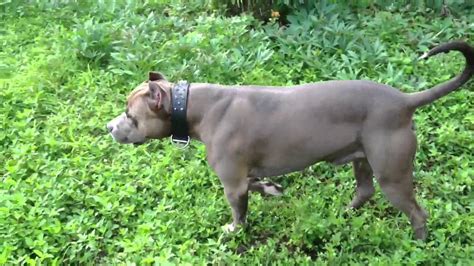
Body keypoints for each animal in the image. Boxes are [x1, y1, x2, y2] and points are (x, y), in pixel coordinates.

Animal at [108, 42, 474, 241]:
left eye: (130, 115)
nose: (109, 126)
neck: (193, 106)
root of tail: (404, 101)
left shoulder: (231, 183)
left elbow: (238, 213)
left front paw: (233, 229)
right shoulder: (243, 176)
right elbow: (257, 185)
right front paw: (271, 189)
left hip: (393, 175)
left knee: (417, 212)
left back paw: (418, 242)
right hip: (362, 160)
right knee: (364, 191)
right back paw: (344, 212)